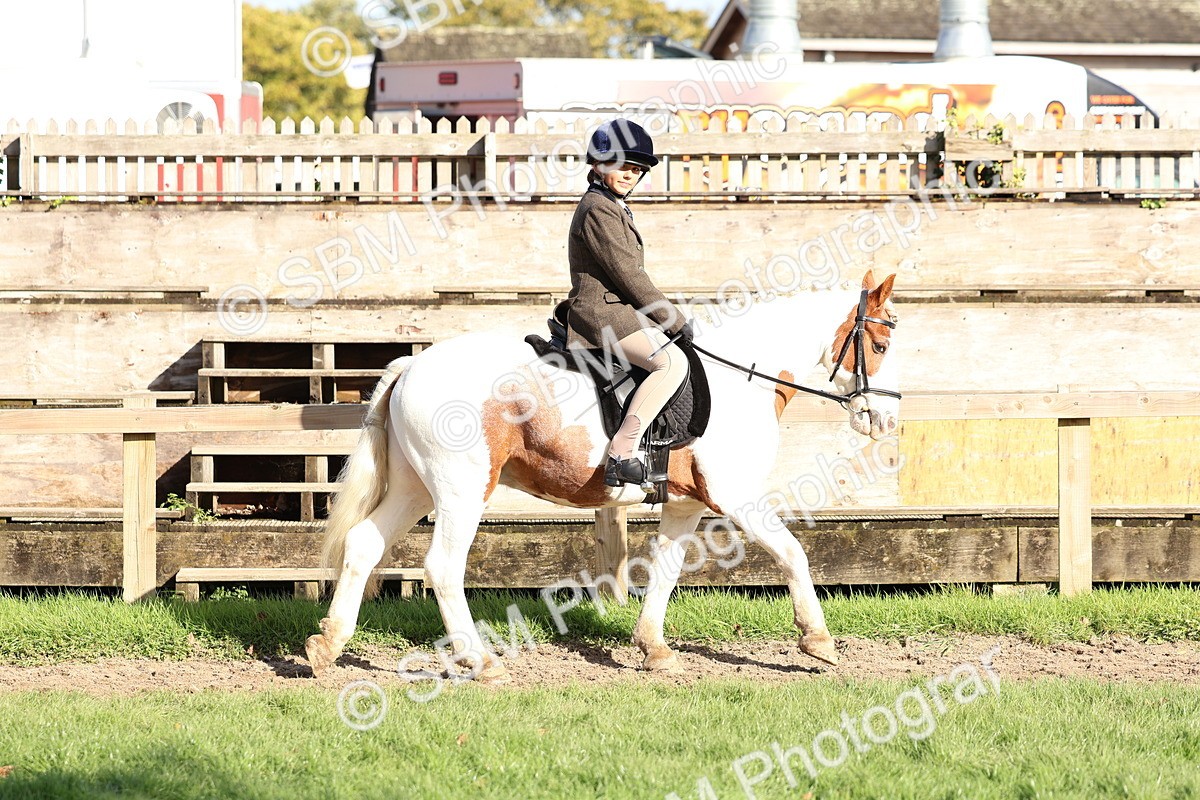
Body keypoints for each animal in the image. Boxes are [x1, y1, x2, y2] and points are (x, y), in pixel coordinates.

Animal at [305, 270, 900, 682]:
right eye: (881, 346)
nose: (886, 422)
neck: (742, 378)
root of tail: (414, 365)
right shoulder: (736, 497)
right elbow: (794, 553)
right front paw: (818, 642)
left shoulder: (686, 504)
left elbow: (665, 571)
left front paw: (654, 650)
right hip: (462, 489)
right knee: (443, 567)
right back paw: (482, 662)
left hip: (415, 487)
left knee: (363, 545)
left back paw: (326, 647)